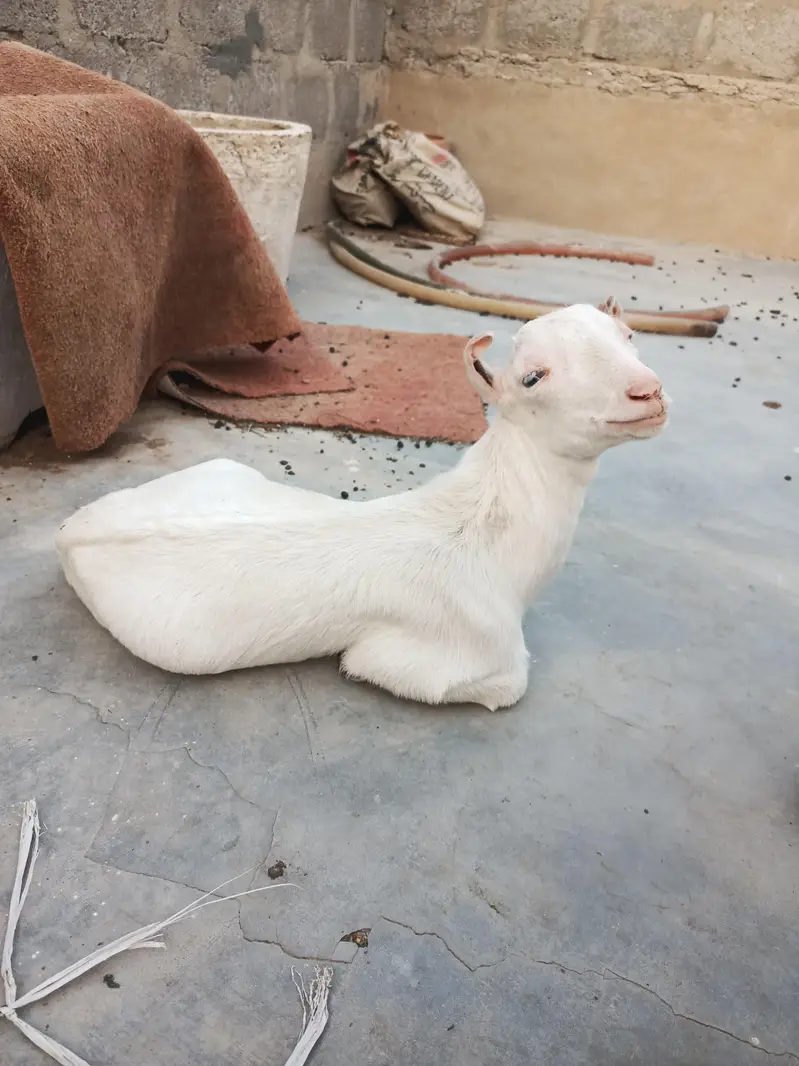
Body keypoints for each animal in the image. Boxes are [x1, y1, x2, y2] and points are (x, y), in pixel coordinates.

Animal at [56, 299, 669, 710]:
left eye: (629, 334)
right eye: (533, 377)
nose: (649, 393)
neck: (483, 531)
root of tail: (70, 529)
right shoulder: (459, 655)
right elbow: (484, 682)